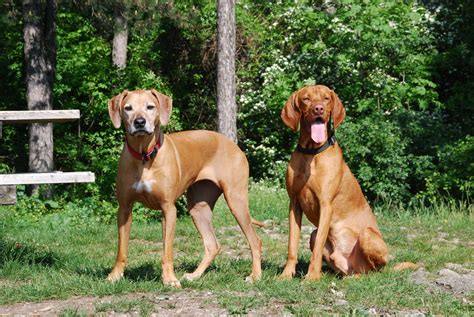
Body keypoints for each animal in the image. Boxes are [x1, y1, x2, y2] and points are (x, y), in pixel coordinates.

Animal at [107, 88, 262, 286]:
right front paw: (115, 275)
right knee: (212, 245)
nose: (139, 122)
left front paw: (169, 279)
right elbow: (122, 249)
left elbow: (167, 251)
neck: (144, 157)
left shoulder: (168, 208)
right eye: (128, 108)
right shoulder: (124, 208)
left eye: (150, 107)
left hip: (236, 199)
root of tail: (233, 144)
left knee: (255, 240)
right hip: (198, 208)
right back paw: (194, 275)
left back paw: (255, 276)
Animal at [280, 84, 386, 278]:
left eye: (326, 98)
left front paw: (312, 277)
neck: (311, 154)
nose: (318, 109)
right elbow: (292, 244)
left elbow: (316, 250)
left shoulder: (326, 205)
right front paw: (286, 274)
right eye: (306, 99)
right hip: (315, 237)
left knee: (374, 271)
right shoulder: (294, 204)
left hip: (367, 235)